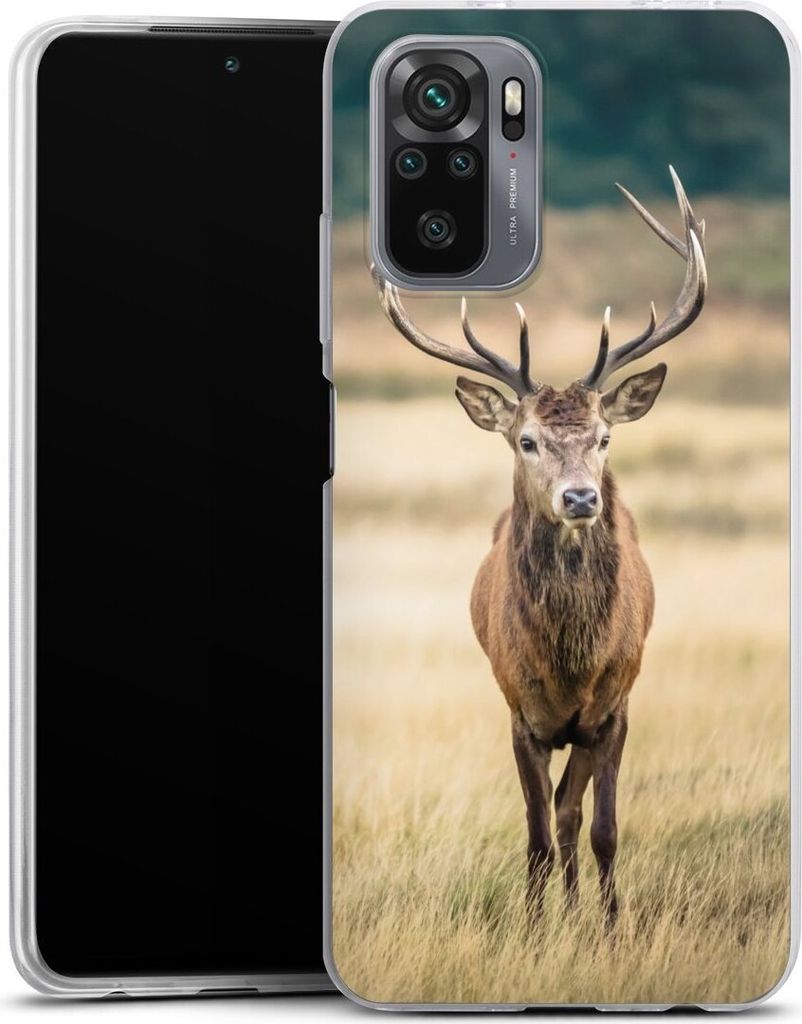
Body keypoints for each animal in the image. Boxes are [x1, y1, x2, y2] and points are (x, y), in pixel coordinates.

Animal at [374, 168, 707, 925]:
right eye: (526, 440)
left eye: (605, 437)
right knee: (554, 817)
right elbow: (534, 834)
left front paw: (609, 928)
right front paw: (531, 929)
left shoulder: (613, 707)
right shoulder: (518, 711)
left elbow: (600, 827)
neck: (569, 665)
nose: (581, 498)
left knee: (572, 813)